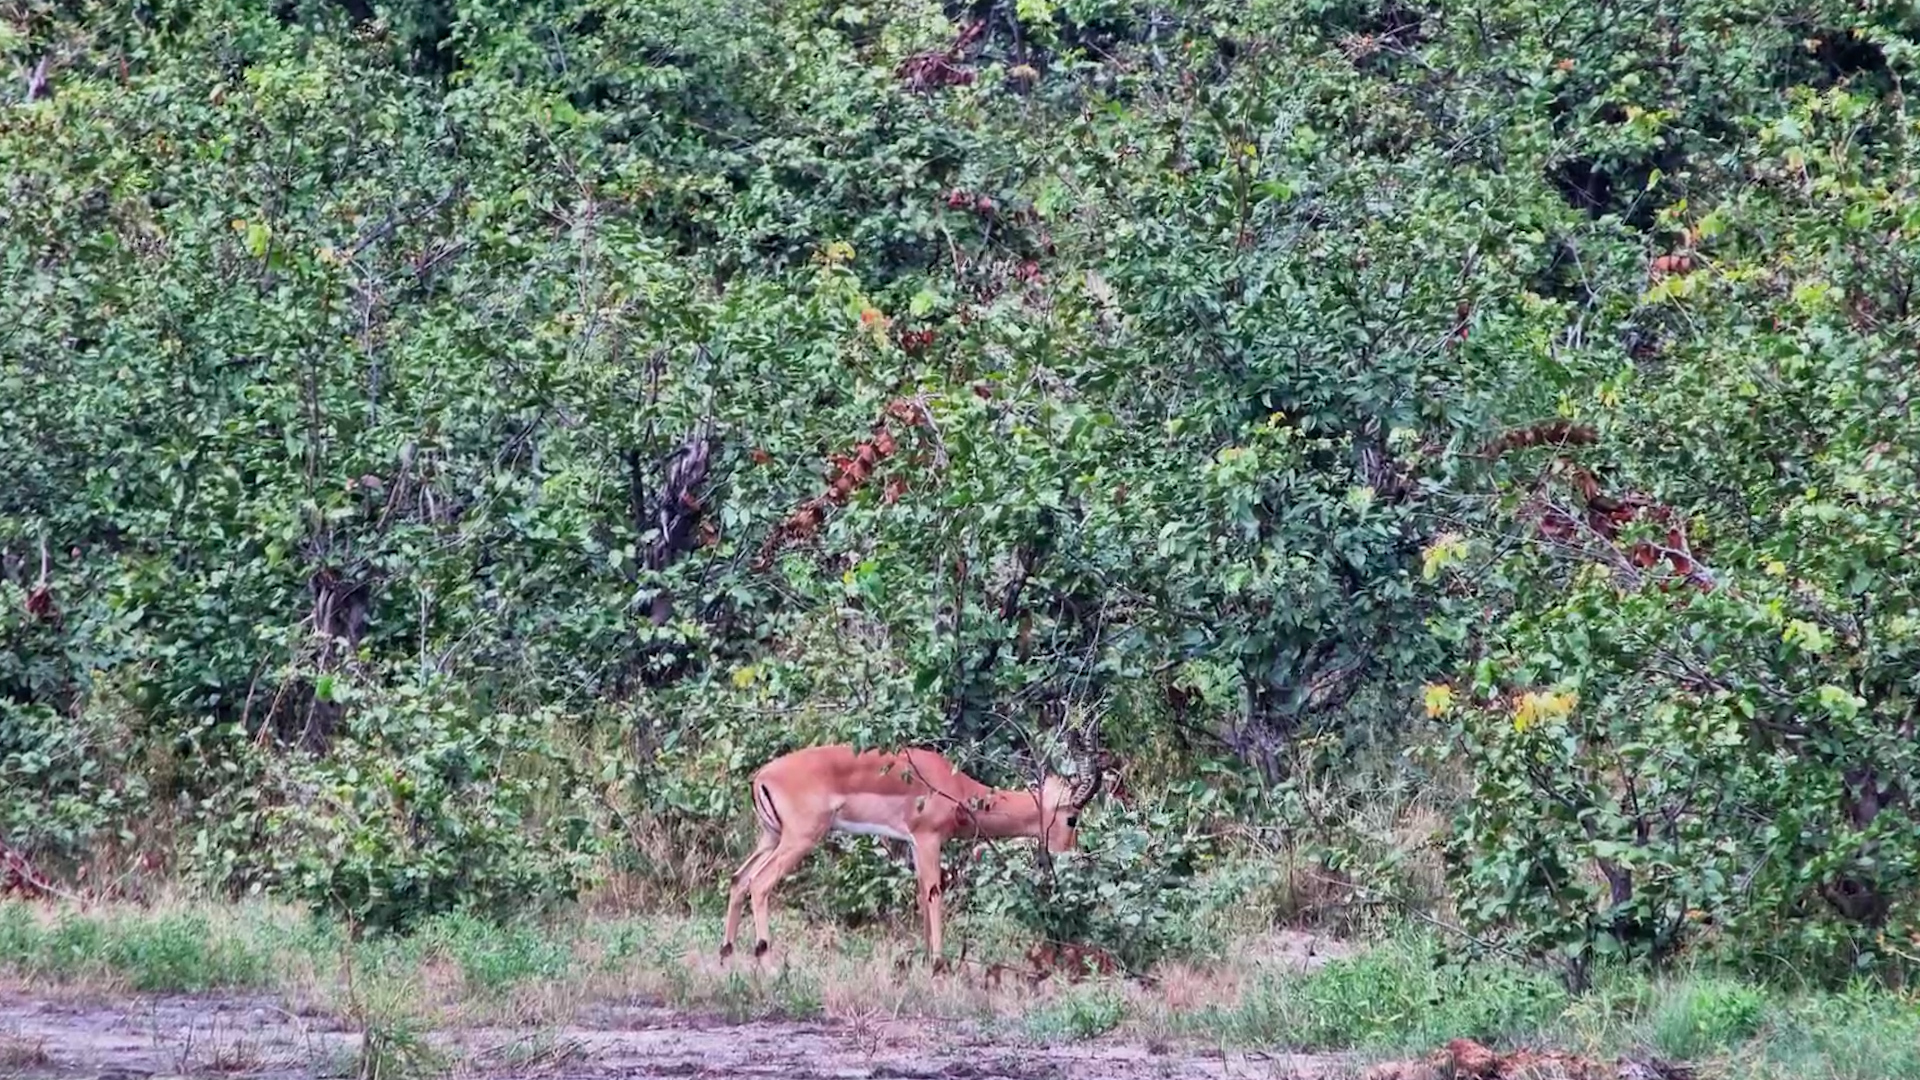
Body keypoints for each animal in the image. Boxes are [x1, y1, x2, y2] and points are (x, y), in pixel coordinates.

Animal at [720, 732, 1103, 967]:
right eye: (1072, 818)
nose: (1071, 857)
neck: (956, 788)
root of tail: (761, 777)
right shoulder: (929, 839)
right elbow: (934, 895)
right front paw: (938, 963)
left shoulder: (915, 845)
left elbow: (921, 896)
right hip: (799, 839)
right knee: (759, 883)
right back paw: (767, 963)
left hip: (770, 837)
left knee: (738, 879)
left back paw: (726, 957)